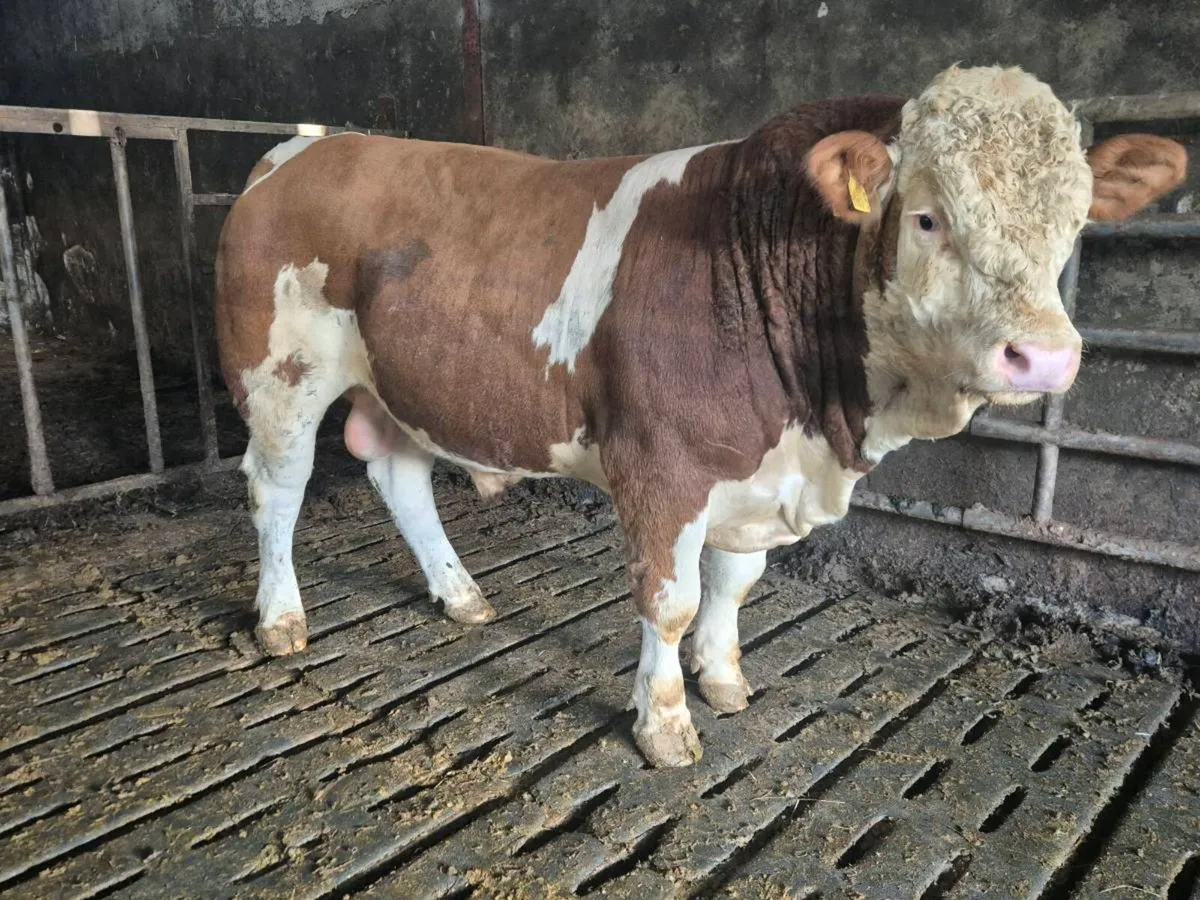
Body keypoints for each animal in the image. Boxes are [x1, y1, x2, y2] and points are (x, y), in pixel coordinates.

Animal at [215, 65, 1186, 768]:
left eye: (1073, 224)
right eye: (926, 217)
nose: (1044, 358)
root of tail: (300, 151)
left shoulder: (753, 470)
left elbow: (735, 584)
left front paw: (722, 680)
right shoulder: (663, 465)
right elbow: (672, 599)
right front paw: (665, 726)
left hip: (407, 384)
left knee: (399, 473)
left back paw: (461, 596)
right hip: (279, 375)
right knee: (277, 489)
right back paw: (281, 618)